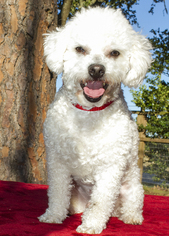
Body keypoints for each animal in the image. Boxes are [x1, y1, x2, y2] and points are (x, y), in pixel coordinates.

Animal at [39, 6, 152, 234]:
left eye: (114, 53)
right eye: (80, 49)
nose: (97, 69)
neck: (88, 114)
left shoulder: (111, 166)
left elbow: (100, 201)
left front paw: (91, 225)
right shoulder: (57, 162)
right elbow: (57, 192)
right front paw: (53, 216)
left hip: (132, 188)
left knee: (130, 205)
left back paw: (131, 217)